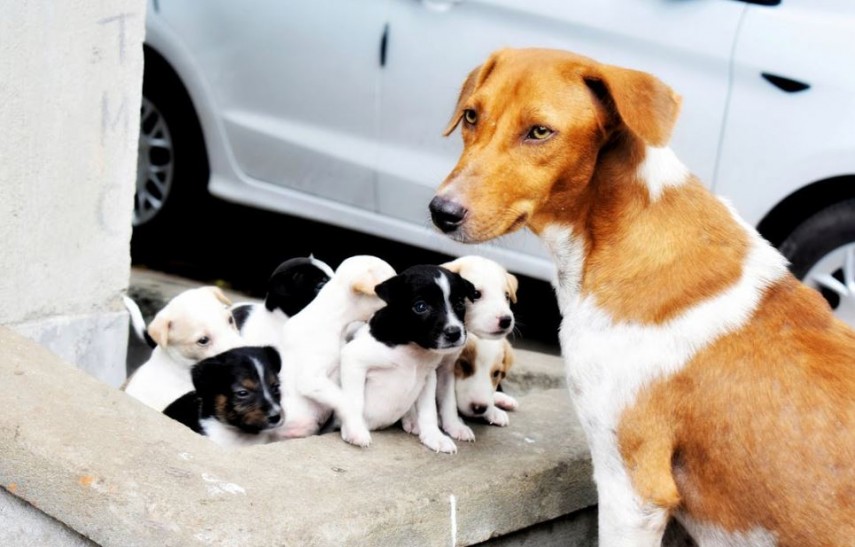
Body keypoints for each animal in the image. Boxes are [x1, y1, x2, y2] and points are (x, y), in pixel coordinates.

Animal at [334, 266, 478, 454]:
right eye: (420, 307)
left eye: (460, 304)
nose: (454, 333)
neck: (412, 346)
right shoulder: (353, 359)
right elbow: (354, 400)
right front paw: (355, 431)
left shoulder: (428, 377)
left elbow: (429, 411)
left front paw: (434, 437)